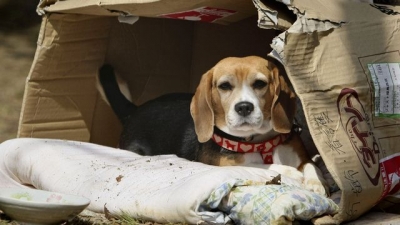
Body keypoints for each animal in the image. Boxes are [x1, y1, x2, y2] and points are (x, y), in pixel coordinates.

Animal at [99, 55, 328, 195]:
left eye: (260, 84)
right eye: (224, 86)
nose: (244, 107)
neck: (259, 141)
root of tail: (135, 110)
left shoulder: (302, 156)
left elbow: (311, 165)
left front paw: (317, 184)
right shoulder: (226, 164)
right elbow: (260, 166)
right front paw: (291, 173)